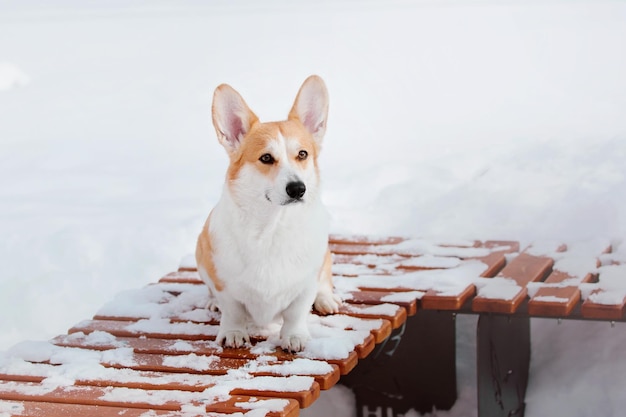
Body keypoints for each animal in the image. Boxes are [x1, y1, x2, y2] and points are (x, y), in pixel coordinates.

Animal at [196, 75, 338, 352]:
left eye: (302, 154)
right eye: (266, 158)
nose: (298, 189)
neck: (273, 227)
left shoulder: (305, 284)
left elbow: (296, 312)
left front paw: (294, 336)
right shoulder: (225, 283)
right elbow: (233, 310)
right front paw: (233, 333)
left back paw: (326, 299)